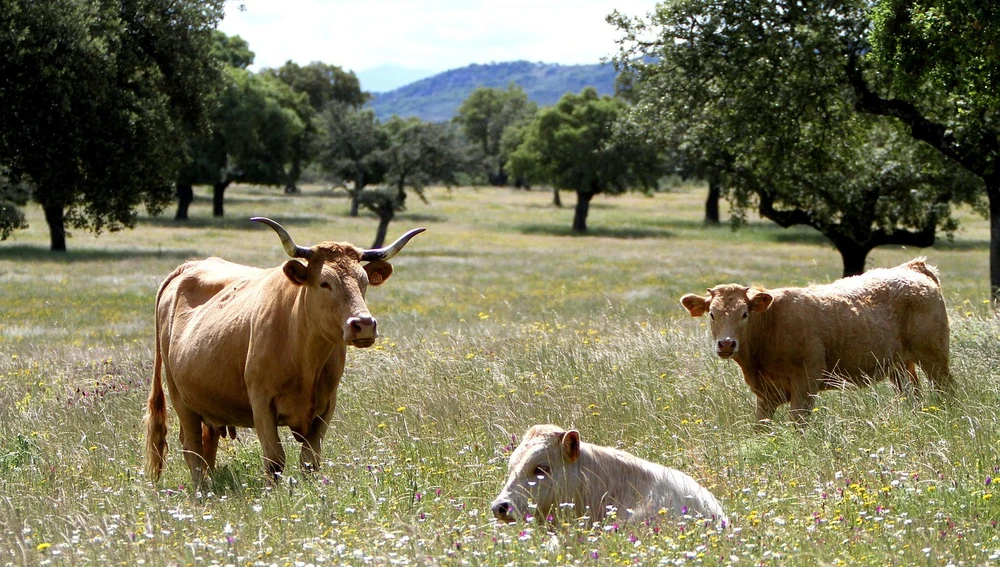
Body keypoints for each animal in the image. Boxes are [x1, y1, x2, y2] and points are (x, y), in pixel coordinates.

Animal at [144, 217, 424, 485]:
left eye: (364, 282)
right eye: (325, 283)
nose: (364, 324)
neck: (304, 356)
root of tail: (188, 267)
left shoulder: (326, 406)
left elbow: (310, 460)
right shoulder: (261, 402)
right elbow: (274, 460)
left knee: (206, 445)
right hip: (179, 396)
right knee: (192, 447)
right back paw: (200, 492)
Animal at [680, 257, 950, 426]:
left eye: (744, 314)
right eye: (712, 314)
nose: (726, 344)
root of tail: (912, 268)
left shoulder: (805, 383)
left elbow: (798, 424)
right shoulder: (765, 395)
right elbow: (761, 428)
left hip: (935, 358)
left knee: (946, 390)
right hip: (900, 366)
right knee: (912, 395)